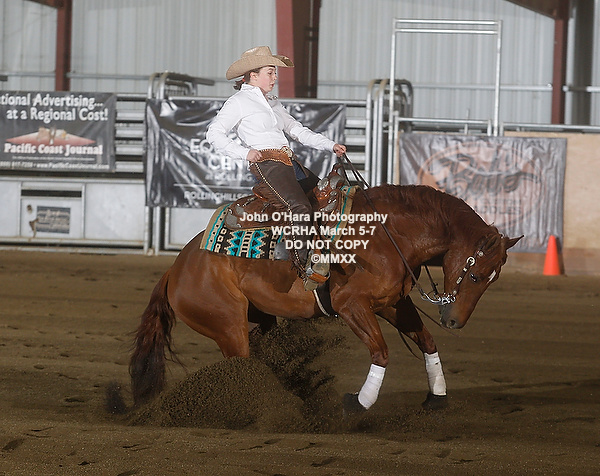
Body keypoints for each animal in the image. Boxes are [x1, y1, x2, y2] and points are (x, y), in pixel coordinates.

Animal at [130, 183, 521, 412]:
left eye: (492, 280)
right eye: (475, 274)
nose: (454, 321)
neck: (387, 233)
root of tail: (177, 269)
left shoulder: (393, 303)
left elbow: (426, 341)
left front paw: (437, 396)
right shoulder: (351, 306)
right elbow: (381, 351)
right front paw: (360, 402)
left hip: (259, 317)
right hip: (227, 326)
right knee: (242, 365)